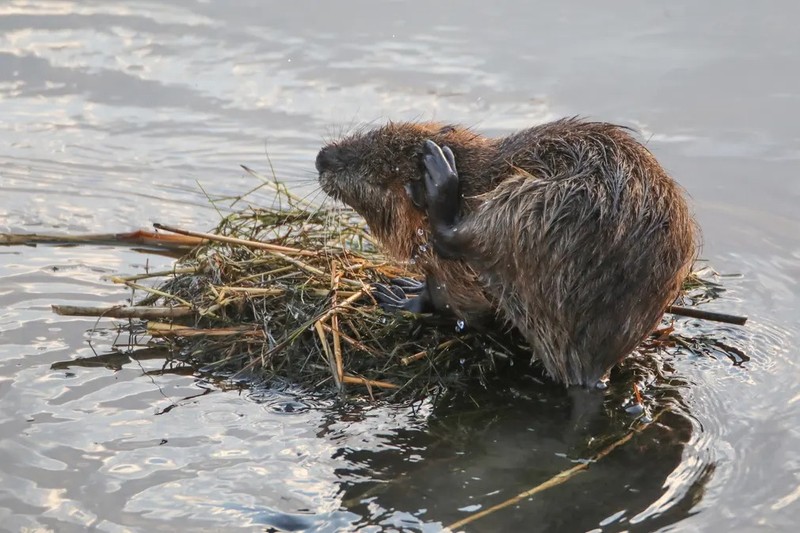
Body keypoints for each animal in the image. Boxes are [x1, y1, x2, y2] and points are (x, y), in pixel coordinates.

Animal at [316, 118, 696, 386]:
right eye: (375, 134)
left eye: (378, 165)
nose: (322, 158)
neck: (477, 177)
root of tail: (591, 370)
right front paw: (402, 291)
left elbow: (461, 304)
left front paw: (399, 296)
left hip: (531, 210)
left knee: (461, 237)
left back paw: (439, 177)